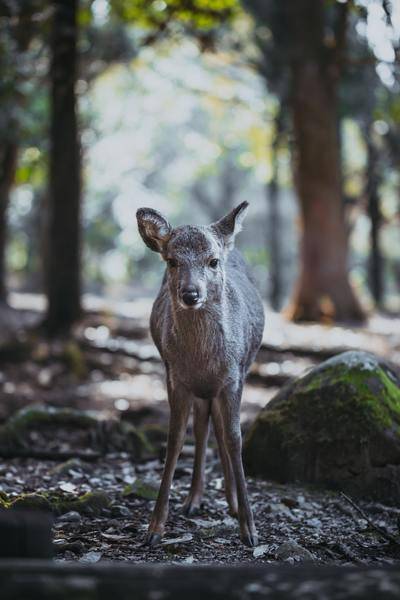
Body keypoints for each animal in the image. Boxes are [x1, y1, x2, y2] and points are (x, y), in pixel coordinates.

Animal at [136, 199, 264, 548]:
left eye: (212, 261)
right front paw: (154, 528)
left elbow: (234, 438)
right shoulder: (174, 377)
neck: (202, 360)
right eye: (172, 261)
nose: (191, 294)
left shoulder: (233, 376)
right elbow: (175, 439)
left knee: (218, 430)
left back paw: (230, 503)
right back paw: (193, 499)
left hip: (238, 373)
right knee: (204, 427)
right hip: (198, 388)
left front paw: (250, 529)